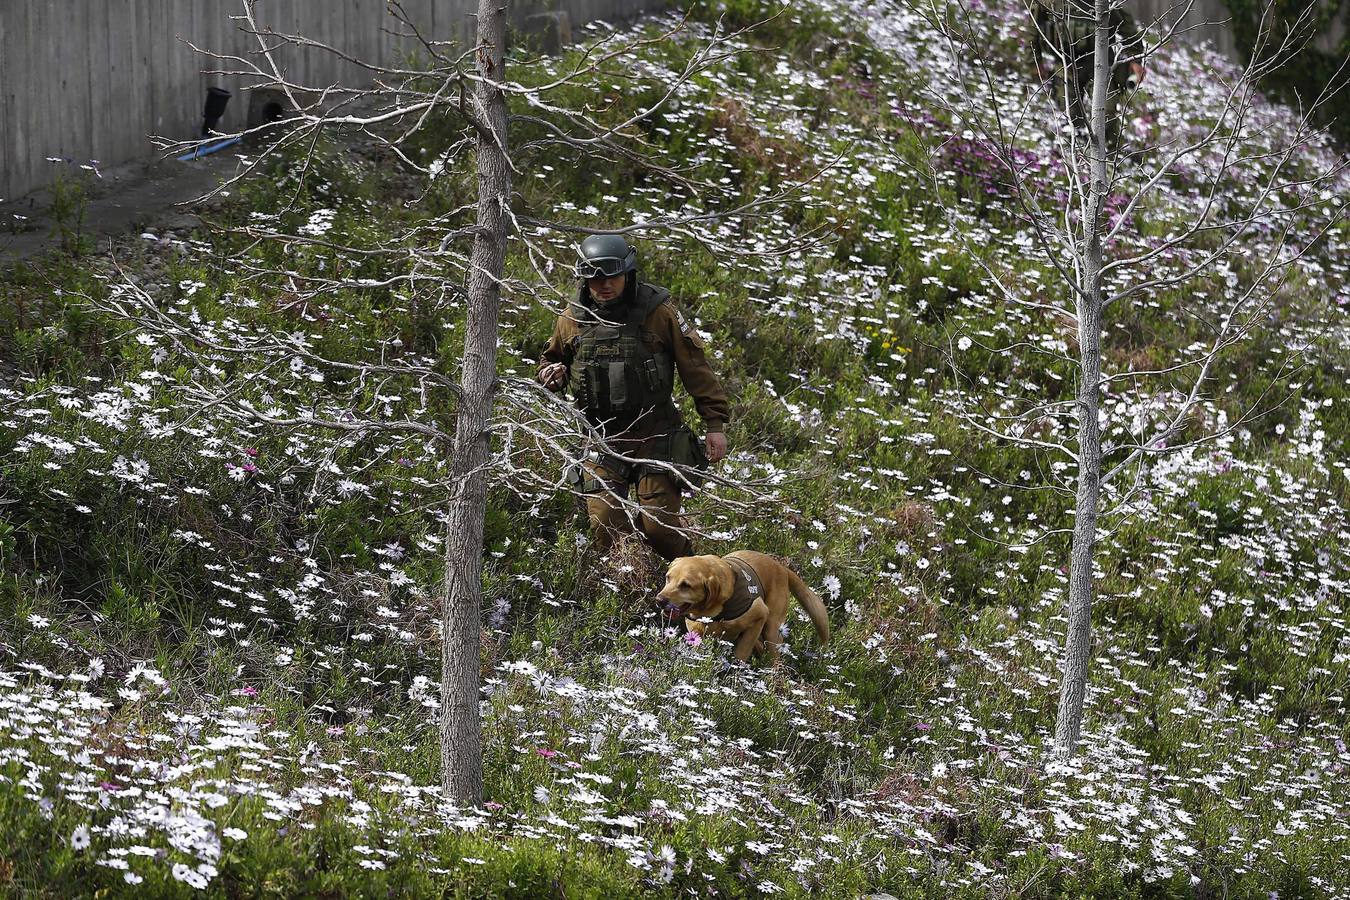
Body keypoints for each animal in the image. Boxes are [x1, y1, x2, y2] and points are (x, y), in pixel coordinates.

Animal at [656, 550, 826, 661]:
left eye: (686, 585)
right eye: (668, 577)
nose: (659, 600)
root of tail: (782, 568)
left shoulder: (759, 615)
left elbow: (742, 653)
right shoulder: (696, 634)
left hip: (771, 628)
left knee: (775, 657)